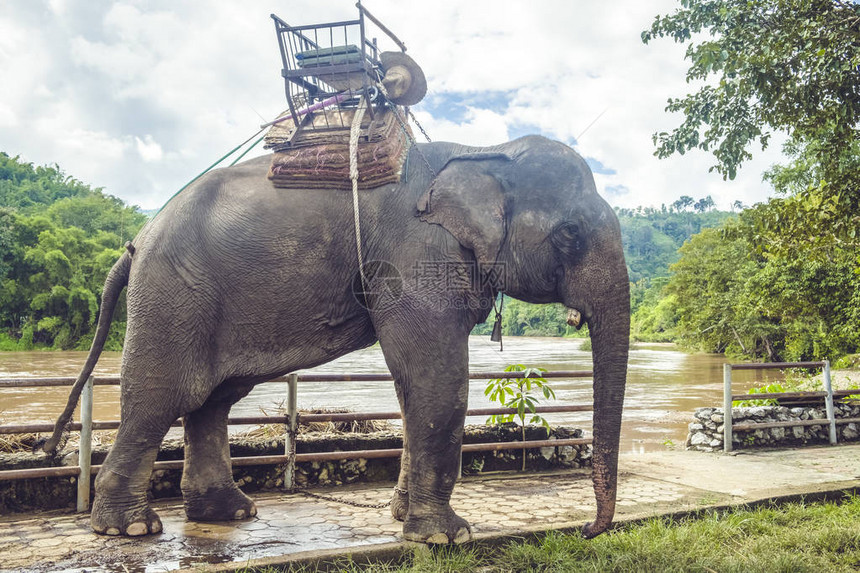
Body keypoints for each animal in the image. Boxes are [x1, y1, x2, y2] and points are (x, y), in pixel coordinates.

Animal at [42, 133, 632, 540]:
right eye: (570, 234)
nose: (587, 531)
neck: (484, 151)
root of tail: (135, 242)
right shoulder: (412, 257)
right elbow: (435, 377)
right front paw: (449, 537)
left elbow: (412, 385)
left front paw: (405, 517)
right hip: (173, 296)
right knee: (163, 394)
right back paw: (131, 529)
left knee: (213, 398)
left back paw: (229, 513)